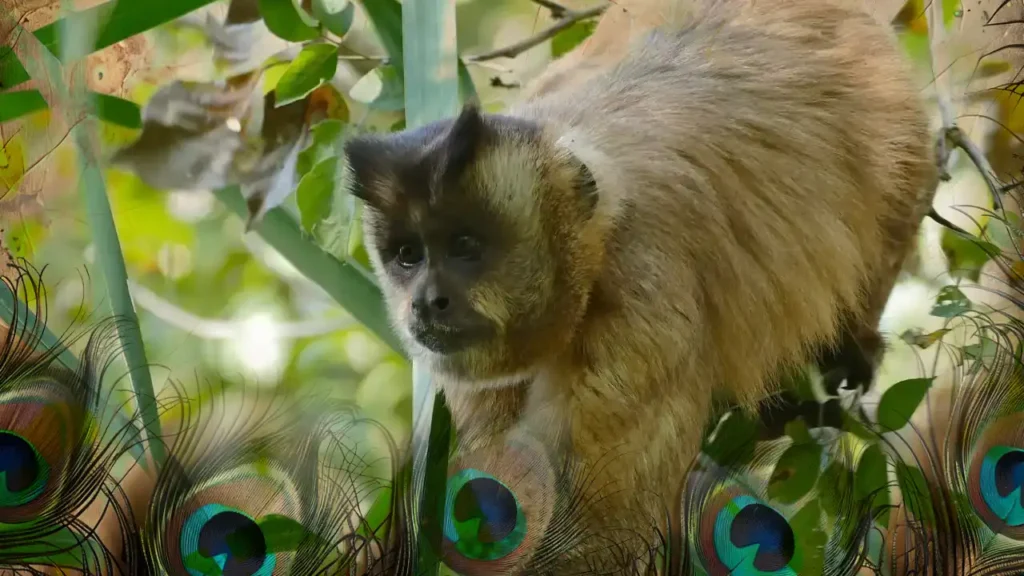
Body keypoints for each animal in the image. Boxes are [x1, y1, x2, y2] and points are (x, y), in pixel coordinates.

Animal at [342, 0, 937, 565]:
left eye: (465, 247)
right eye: (408, 257)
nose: (426, 302)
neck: (594, 235)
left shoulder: (645, 296)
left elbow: (596, 532)